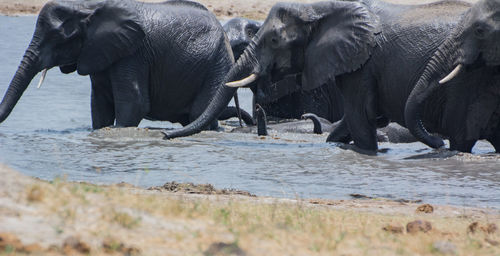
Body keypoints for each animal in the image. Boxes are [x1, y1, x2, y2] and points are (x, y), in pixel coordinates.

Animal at [0, 0, 254, 129]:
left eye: (60, 37)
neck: (88, 6)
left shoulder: (133, 54)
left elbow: (134, 103)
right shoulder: (99, 51)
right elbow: (99, 106)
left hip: (216, 63)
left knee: (199, 113)